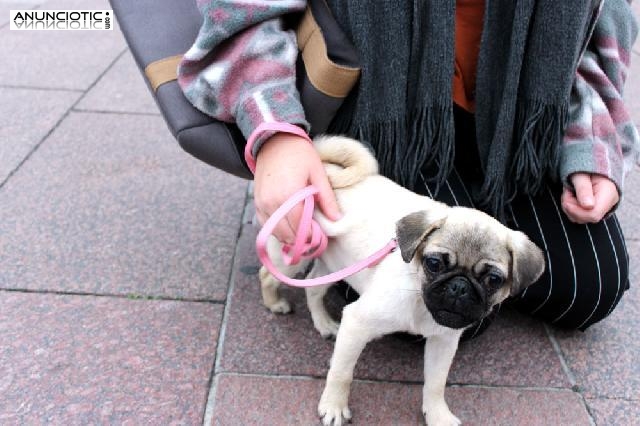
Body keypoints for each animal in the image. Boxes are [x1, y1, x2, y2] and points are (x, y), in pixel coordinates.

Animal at [260, 136, 544, 426]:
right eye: (434, 263)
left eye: (494, 279)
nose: (459, 287)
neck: (419, 299)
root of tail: (323, 166)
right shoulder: (356, 324)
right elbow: (342, 373)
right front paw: (334, 406)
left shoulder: (444, 341)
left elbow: (436, 383)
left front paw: (437, 414)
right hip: (295, 251)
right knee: (268, 274)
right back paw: (274, 304)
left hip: (335, 265)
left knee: (313, 288)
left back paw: (324, 323)